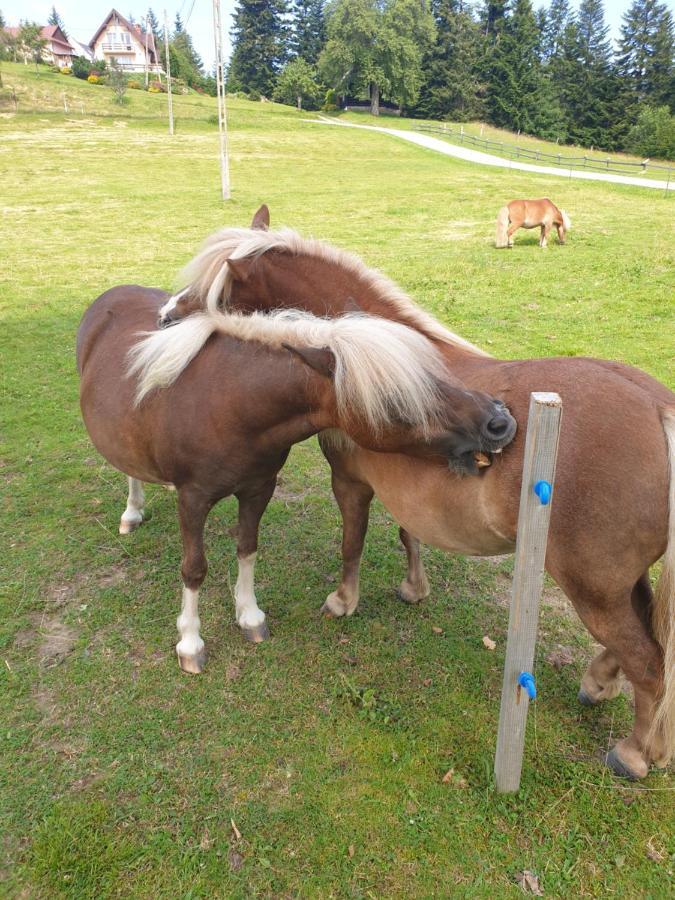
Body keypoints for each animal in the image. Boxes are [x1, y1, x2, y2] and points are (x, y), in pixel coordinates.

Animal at [76, 284, 516, 672]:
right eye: (396, 398)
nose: (498, 421)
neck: (231, 404)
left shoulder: (259, 488)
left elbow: (247, 548)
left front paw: (250, 617)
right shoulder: (194, 499)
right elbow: (194, 569)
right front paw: (190, 644)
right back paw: (132, 513)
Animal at [157, 206, 675, 780]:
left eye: (212, 291)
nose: (165, 318)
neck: (365, 355)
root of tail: (657, 408)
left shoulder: (351, 482)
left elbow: (353, 542)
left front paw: (344, 601)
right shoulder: (407, 492)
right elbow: (410, 536)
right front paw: (413, 588)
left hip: (593, 588)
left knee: (649, 662)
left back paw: (634, 752)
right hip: (619, 583)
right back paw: (602, 686)